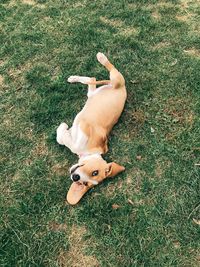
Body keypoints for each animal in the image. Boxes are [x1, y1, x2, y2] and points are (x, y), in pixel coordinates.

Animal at [56, 52, 126, 205]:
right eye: (95, 172)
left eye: (84, 184)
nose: (75, 178)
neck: (90, 152)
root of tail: (123, 88)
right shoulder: (86, 126)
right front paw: (65, 129)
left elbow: (68, 141)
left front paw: (63, 130)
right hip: (116, 80)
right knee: (106, 71)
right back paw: (101, 58)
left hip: (95, 91)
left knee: (91, 80)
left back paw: (74, 78)